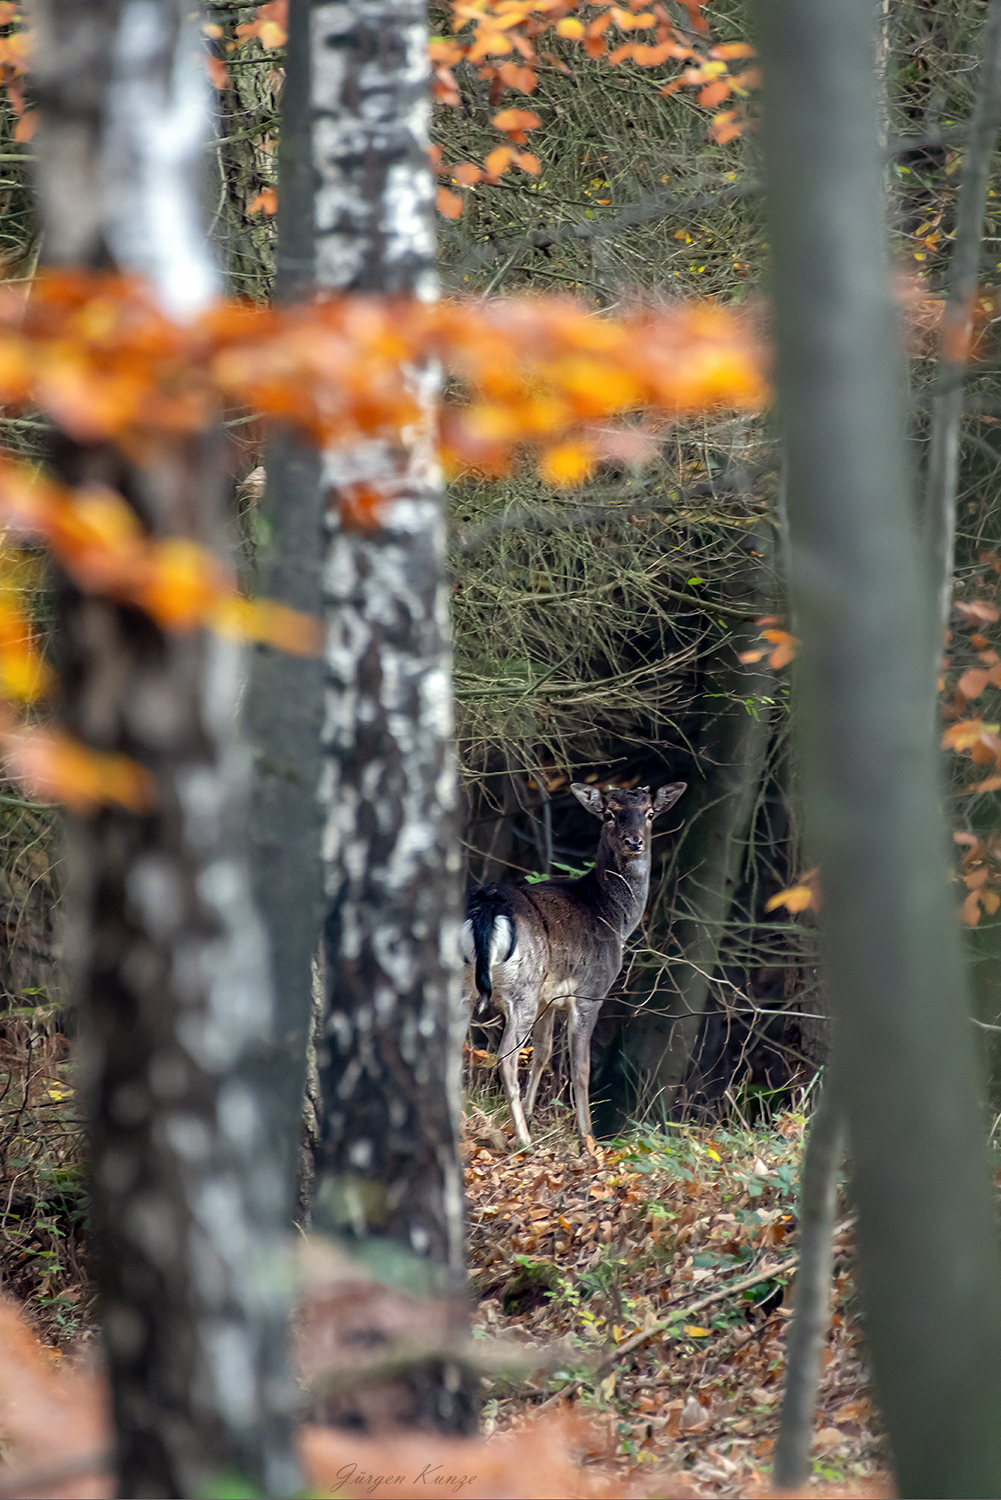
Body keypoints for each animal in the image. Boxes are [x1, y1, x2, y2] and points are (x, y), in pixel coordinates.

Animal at [465, 786, 690, 1146]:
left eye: (650, 813)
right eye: (609, 814)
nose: (634, 841)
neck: (614, 918)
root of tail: (485, 908)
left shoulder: (548, 998)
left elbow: (542, 1053)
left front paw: (533, 1115)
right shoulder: (591, 991)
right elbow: (581, 1069)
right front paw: (588, 1138)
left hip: (469, 985)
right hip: (522, 988)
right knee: (506, 1058)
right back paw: (524, 1140)